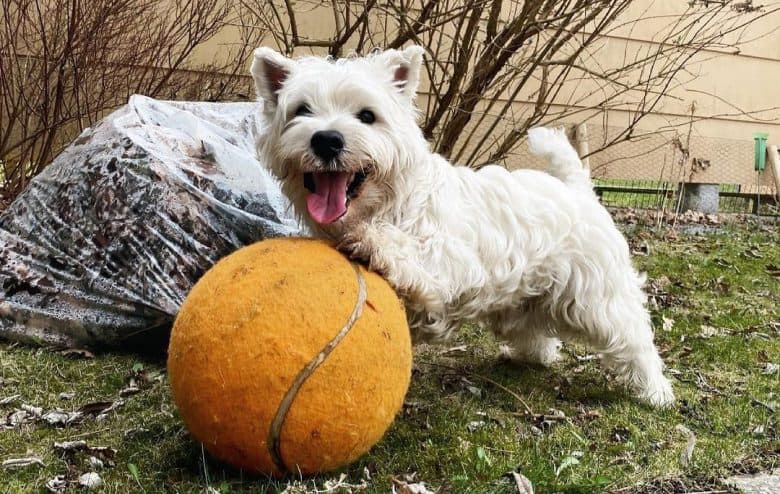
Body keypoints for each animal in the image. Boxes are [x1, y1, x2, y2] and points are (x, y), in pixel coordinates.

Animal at [251, 44, 676, 406]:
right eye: (301, 110)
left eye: (367, 115)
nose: (327, 140)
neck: (387, 203)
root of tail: (579, 190)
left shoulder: (448, 262)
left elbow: (411, 259)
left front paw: (372, 242)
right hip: (524, 299)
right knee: (538, 334)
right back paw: (531, 356)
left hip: (598, 298)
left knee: (633, 338)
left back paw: (655, 392)